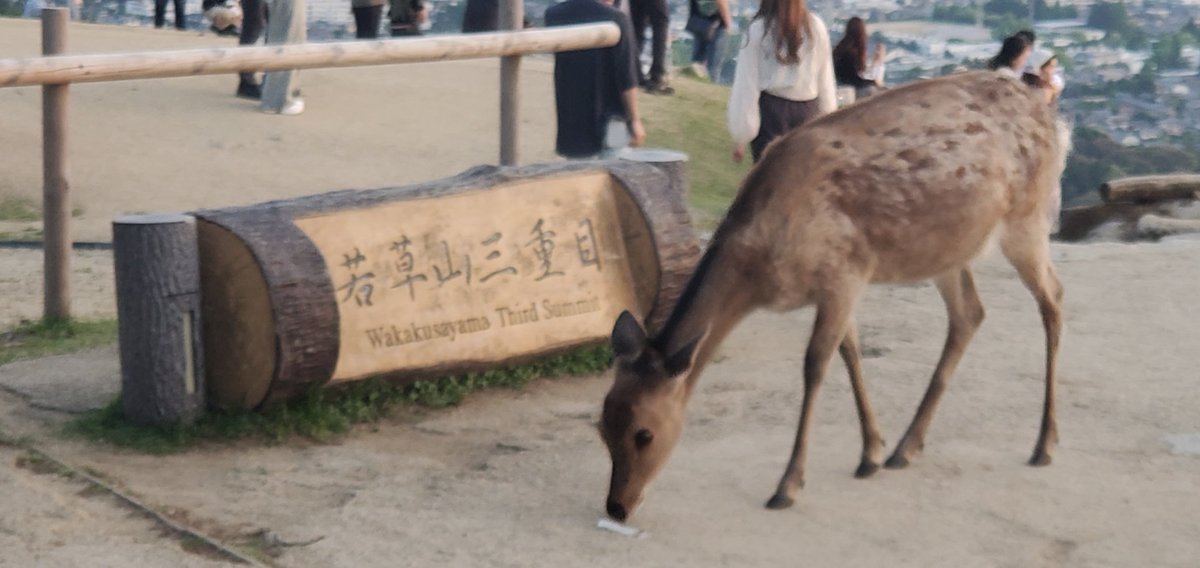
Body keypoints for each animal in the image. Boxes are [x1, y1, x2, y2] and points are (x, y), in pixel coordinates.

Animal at [600, 69, 1070, 518]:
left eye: (645, 434)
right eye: (602, 425)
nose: (618, 507)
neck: (761, 269)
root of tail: (1054, 120)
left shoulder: (844, 272)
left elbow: (815, 366)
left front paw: (788, 485)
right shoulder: (838, 286)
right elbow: (851, 352)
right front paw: (871, 453)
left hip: (1027, 218)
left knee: (1053, 296)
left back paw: (1044, 444)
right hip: (947, 249)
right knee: (970, 312)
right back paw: (907, 446)